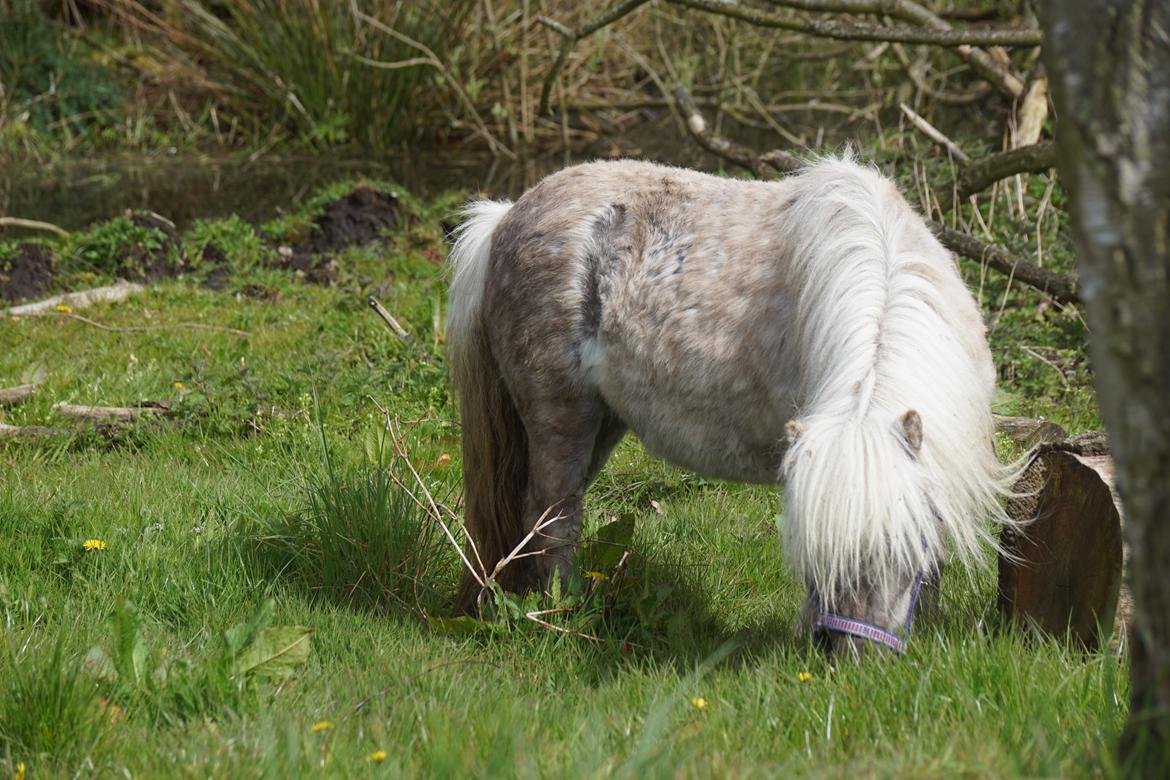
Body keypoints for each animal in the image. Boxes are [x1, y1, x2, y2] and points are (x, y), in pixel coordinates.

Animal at [446, 156, 1015, 654]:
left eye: (904, 545)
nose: (852, 659)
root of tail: (505, 217)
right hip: (561, 418)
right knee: (552, 521)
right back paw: (562, 616)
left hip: (601, 425)